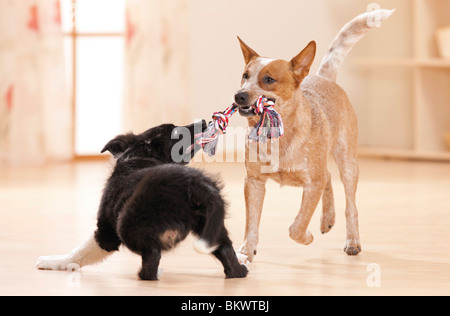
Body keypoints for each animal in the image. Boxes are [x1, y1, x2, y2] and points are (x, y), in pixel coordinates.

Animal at [36, 120, 250, 278]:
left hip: (127, 225)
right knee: (227, 253)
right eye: (176, 131)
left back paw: (144, 275)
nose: (205, 121)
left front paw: (53, 262)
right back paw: (240, 269)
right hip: (212, 226)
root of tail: (193, 183)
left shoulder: (107, 231)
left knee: (152, 255)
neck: (139, 155)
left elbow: (79, 252)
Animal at [236, 9, 394, 262]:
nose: (239, 95)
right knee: (328, 176)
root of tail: (324, 78)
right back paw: (327, 218)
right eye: (244, 75)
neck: (279, 138)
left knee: (350, 205)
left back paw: (352, 241)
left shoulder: (312, 184)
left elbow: (297, 226)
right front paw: (245, 252)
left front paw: (307, 237)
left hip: (348, 163)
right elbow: (251, 224)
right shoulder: (254, 182)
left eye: (269, 79)